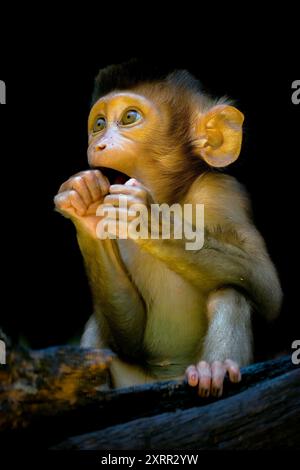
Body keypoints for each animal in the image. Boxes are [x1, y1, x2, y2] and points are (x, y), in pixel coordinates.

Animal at [55, 58, 282, 396]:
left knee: (231, 292)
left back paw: (212, 371)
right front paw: (82, 200)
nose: (99, 144)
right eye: (98, 124)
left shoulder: (224, 193)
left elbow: (270, 295)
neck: (172, 197)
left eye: (129, 117)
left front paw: (149, 219)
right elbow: (130, 339)